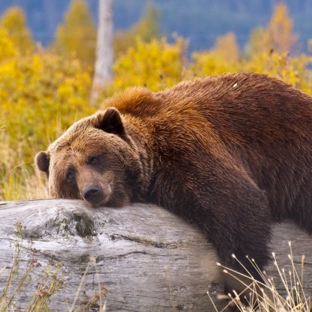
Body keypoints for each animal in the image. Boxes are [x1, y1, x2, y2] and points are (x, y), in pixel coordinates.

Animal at [35, 72, 312, 294]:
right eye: (69, 173)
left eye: (94, 157)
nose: (92, 190)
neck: (152, 161)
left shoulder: (186, 149)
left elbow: (238, 208)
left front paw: (243, 286)